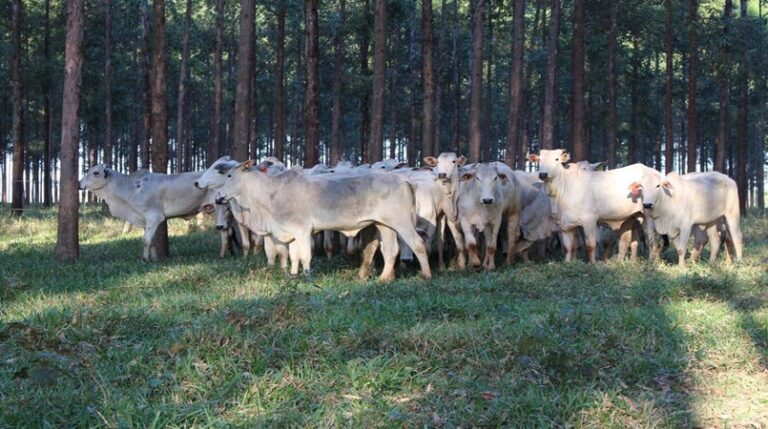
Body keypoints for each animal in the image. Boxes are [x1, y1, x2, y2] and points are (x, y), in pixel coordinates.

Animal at [79, 165, 212, 260]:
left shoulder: (154, 217)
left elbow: (146, 241)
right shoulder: (144, 220)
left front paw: (145, 259)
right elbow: (151, 242)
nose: (79, 183)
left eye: (96, 172)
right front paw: (153, 259)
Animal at [528, 148, 660, 260]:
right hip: (635, 218)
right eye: (539, 160)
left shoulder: (590, 220)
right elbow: (568, 247)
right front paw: (568, 263)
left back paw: (651, 263)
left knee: (652, 241)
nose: (543, 174)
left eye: (556, 159)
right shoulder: (565, 224)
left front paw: (592, 264)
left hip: (649, 216)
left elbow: (591, 245)